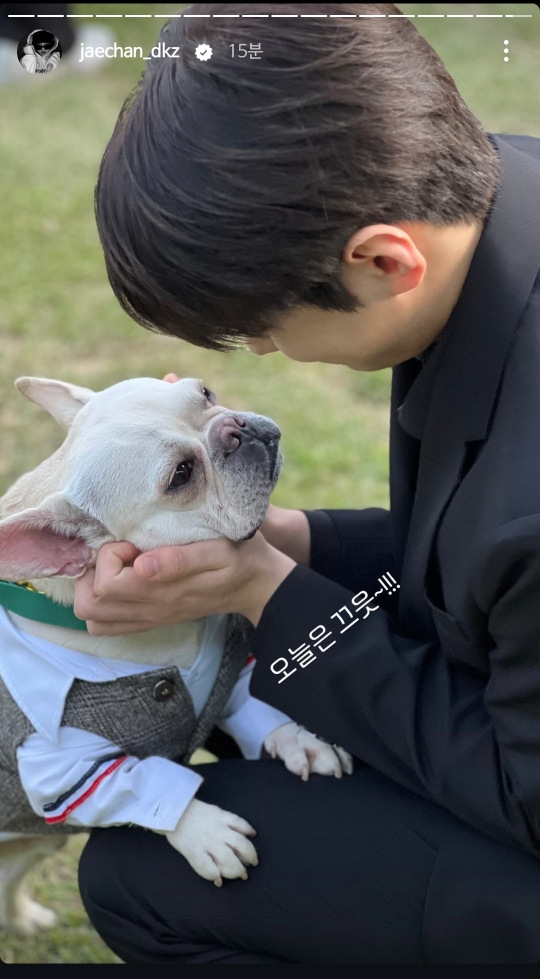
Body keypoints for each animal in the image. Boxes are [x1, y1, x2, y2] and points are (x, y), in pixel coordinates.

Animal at [0, 374, 353, 935]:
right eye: (181, 476)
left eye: (205, 393)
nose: (238, 429)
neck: (171, 633)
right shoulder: (62, 765)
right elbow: (142, 782)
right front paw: (206, 832)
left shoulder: (231, 673)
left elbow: (250, 702)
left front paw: (297, 738)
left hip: (37, 842)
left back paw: (24, 918)